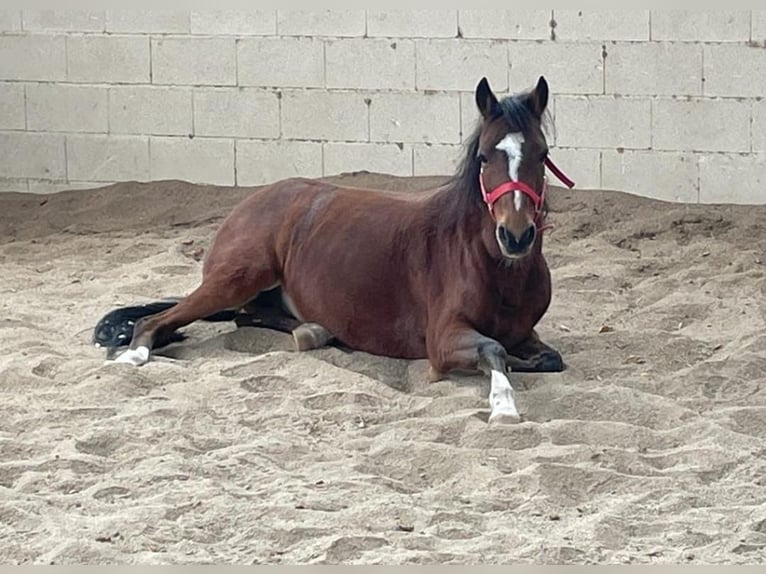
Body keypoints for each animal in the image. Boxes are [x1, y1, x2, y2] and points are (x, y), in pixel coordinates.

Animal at [94, 75, 576, 424]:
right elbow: (493, 350)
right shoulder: (443, 337)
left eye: (542, 153)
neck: (494, 268)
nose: (515, 236)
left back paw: (314, 331)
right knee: (156, 321)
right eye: (483, 157)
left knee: (250, 316)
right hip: (236, 278)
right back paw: (132, 355)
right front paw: (503, 407)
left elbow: (545, 358)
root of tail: (253, 201)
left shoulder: (525, 333)